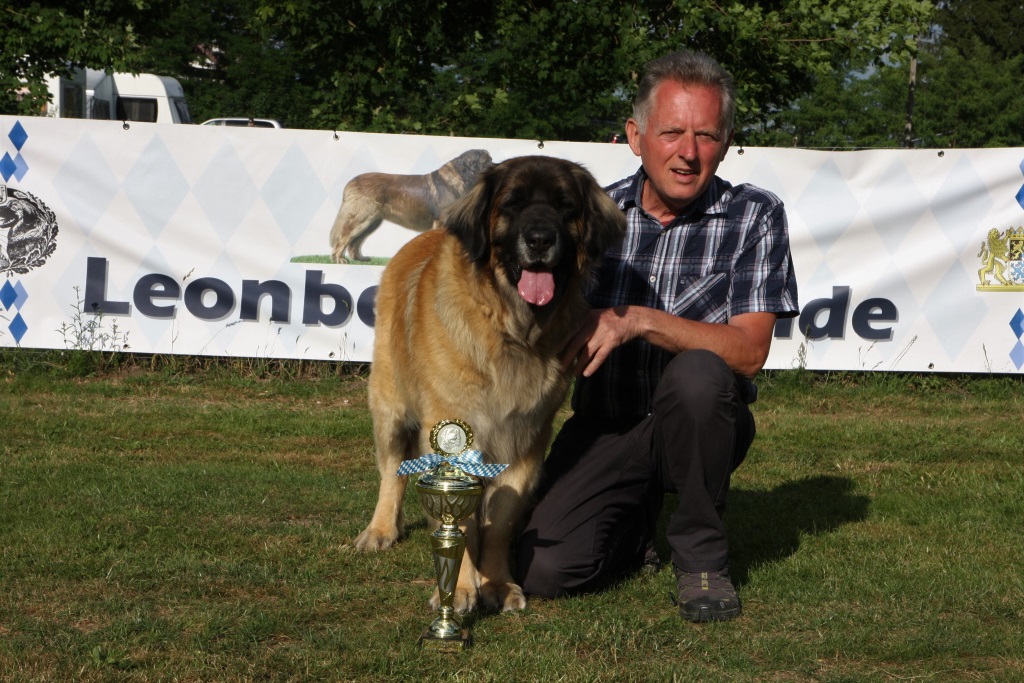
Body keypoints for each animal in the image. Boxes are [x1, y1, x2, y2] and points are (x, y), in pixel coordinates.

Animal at [325, 148, 489, 264]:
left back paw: (360, 259)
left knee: (355, 241)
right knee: (345, 236)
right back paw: (339, 259)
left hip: (372, 222)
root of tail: (351, 182)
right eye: (487, 161)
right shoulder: (441, 220)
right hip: (361, 218)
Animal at [352, 154, 622, 614]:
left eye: (565, 206)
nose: (539, 239)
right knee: (392, 469)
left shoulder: (524, 439)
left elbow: (501, 518)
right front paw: (460, 589)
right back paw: (381, 529)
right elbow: (458, 523)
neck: (508, 327)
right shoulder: (451, 433)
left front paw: (497, 582)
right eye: (512, 204)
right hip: (390, 406)